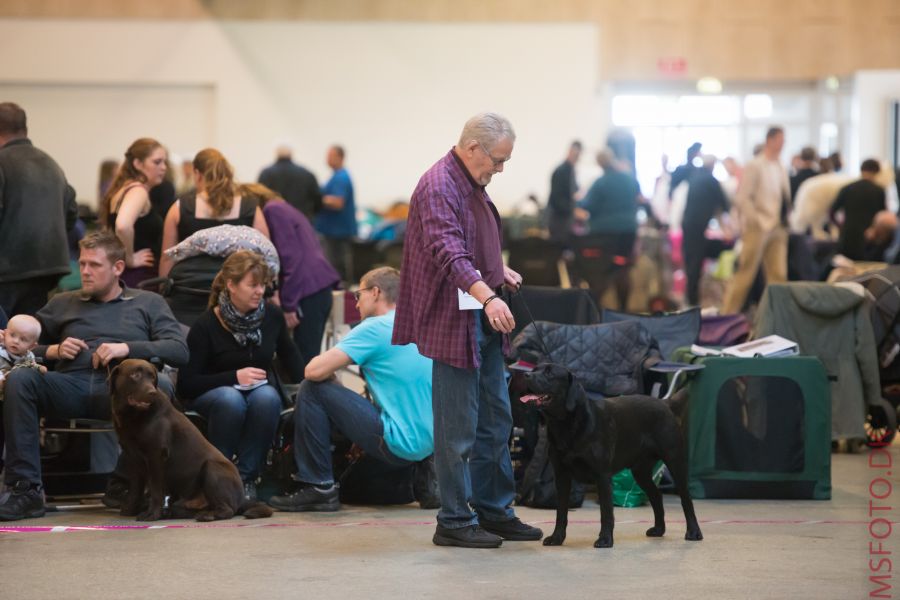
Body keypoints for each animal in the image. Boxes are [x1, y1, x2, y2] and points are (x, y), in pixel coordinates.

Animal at [110, 358, 270, 524]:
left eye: (152, 377)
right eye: (135, 375)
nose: (152, 392)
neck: (133, 416)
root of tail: (242, 497)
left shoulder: (156, 456)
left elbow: (155, 490)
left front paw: (152, 514)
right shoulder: (133, 457)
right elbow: (135, 488)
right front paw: (130, 509)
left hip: (211, 468)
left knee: (228, 509)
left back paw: (207, 516)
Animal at [520, 360, 704, 548]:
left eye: (549, 373)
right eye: (534, 369)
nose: (525, 375)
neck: (565, 425)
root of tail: (666, 404)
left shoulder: (602, 476)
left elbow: (606, 512)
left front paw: (605, 539)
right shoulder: (562, 475)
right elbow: (561, 512)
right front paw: (557, 538)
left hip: (675, 461)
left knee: (686, 499)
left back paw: (694, 532)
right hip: (640, 472)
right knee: (656, 496)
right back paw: (659, 529)